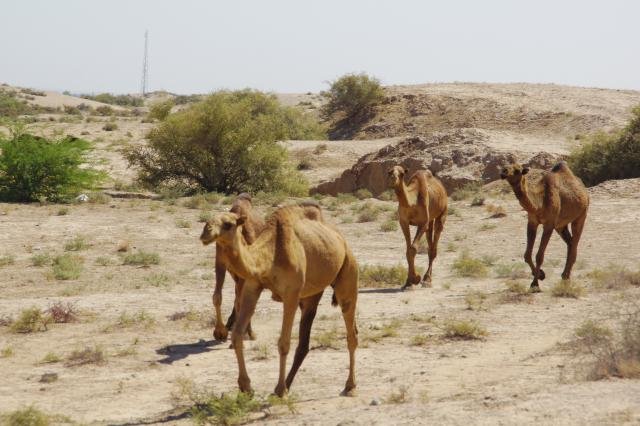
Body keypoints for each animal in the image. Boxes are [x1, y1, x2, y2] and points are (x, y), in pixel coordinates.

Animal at [202, 195, 268, 342]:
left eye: (228, 224)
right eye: (211, 219)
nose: (206, 231)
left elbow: (242, 300)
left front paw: (249, 333)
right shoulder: (220, 262)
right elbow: (217, 296)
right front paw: (220, 332)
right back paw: (231, 324)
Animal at [500, 161, 592, 292]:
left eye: (518, 170)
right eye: (505, 167)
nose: (503, 172)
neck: (540, 203)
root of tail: (584, 190)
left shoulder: (549, 224)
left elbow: (539, 256)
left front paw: (535, 284)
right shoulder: (532, 222)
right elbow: (527, 255)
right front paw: (541, 275)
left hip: (581, 215)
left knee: (574, 242)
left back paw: (566, 277)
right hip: (561, 226)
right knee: (570, 243)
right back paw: (565, 275)